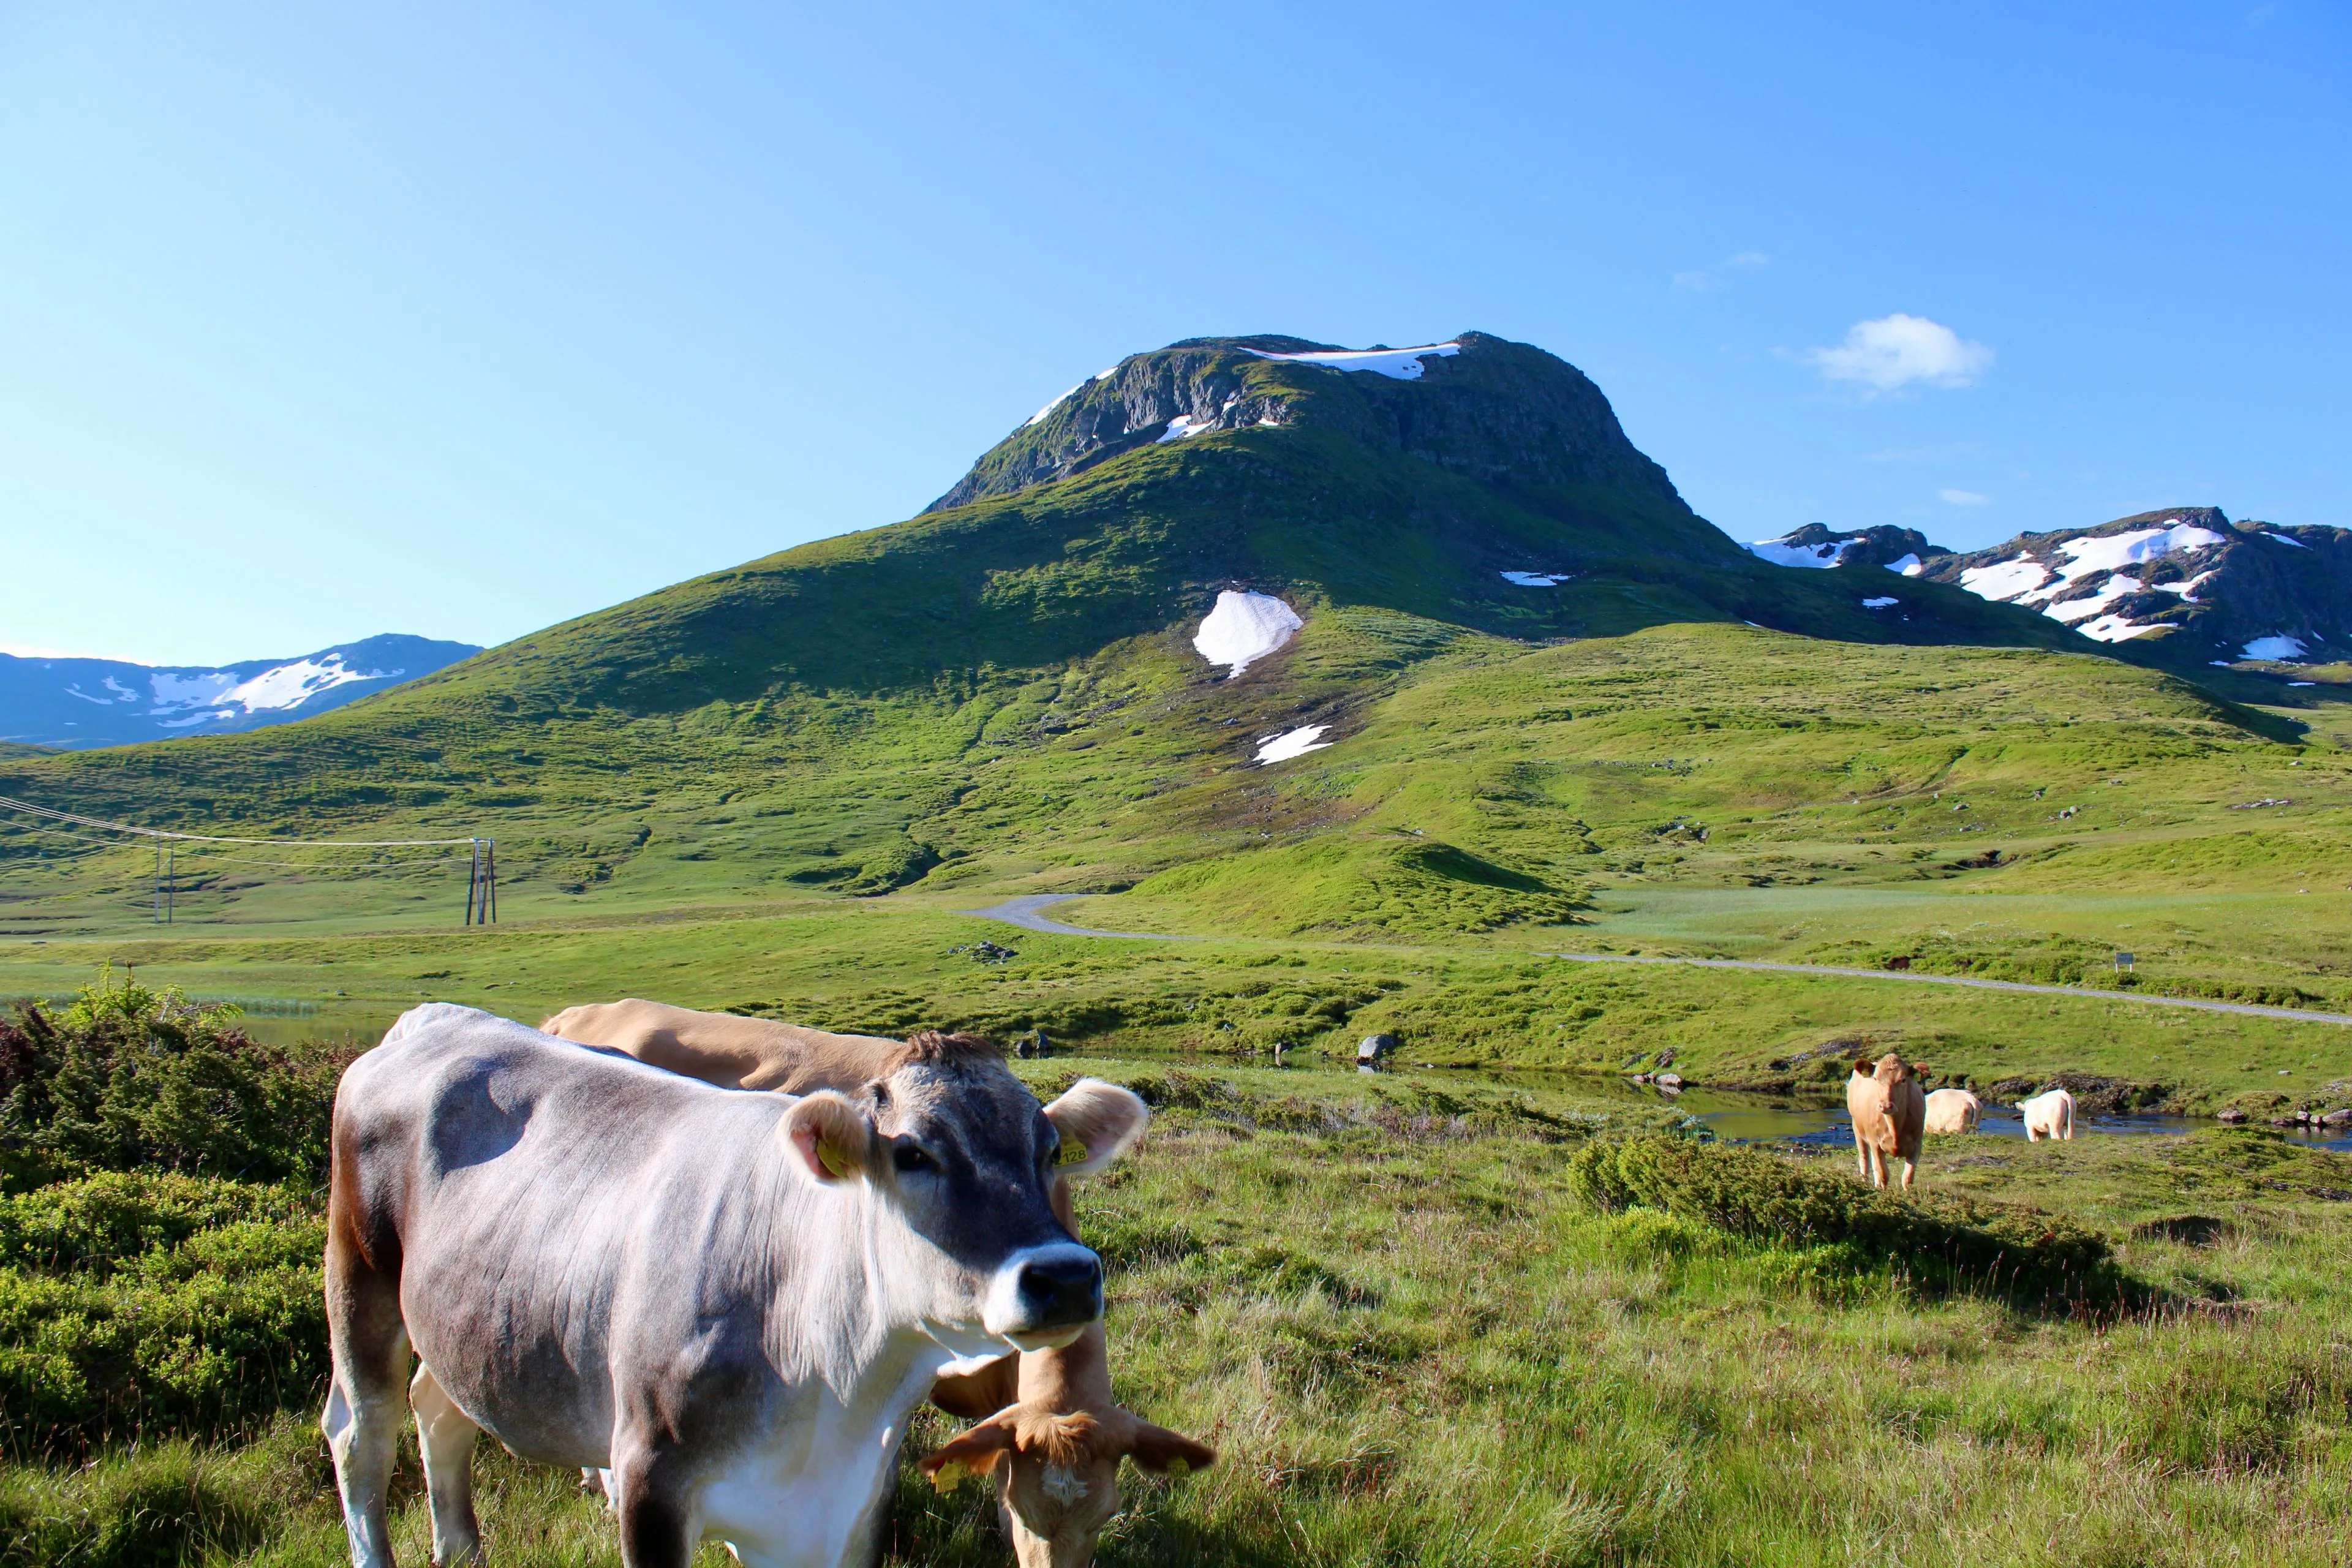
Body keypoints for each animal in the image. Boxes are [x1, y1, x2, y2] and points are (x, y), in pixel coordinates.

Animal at [322, 1003, 1145, 1568]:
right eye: (912, 1153)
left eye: (1049, 1148)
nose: (1064, 1275)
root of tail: (438, 1017)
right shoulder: (651, 1481)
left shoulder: (846, 1504)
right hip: (360, 1278)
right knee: (360, 1436)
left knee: (440, 1408)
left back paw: (461, 1548)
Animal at [1846, 1052, 1928, 1190]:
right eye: (1875, 1079)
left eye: (1903, 1080)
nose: (1885, 1106)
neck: (1895, 1126)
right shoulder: (1875, 1143)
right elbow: (1883, 1174)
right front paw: (1884, 1192)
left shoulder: (1917, 1145)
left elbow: (1908, 1178)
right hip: (1857, 1129)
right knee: (1865, 1159)